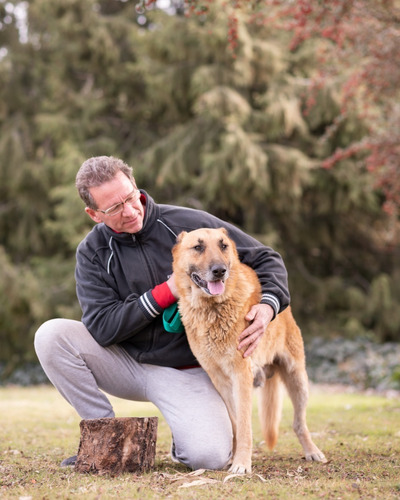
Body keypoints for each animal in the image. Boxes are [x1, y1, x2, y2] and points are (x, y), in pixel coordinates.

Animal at [171, 227, 324, 472]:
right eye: (198, 247)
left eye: (223, 245)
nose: (220, 271)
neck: (212, 309)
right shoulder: (222, 381)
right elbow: (235, 423)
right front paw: (234, 458)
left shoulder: (240, 376)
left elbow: (244, 426)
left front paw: (242, 463)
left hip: (298, 380)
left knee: (299, 423)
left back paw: (312, 451)